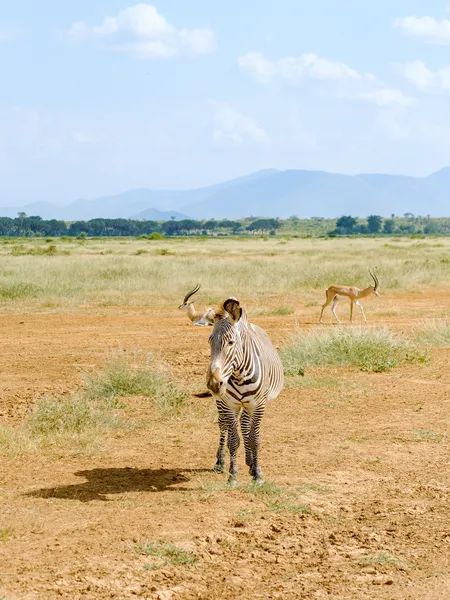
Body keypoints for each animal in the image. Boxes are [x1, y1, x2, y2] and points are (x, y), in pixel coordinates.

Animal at [206, 296, 284, 488]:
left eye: (230, 343)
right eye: (210, 342)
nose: (214, 384)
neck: (240, 374)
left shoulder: (258, 405)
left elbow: (254, 439)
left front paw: (257, 474)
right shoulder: (230, 405)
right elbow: (234, 441)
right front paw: (232, 476)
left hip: (249, 405)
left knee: (246, 426)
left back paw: (250, 462)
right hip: (222, 403)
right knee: (223, 425)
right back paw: (220, 462)